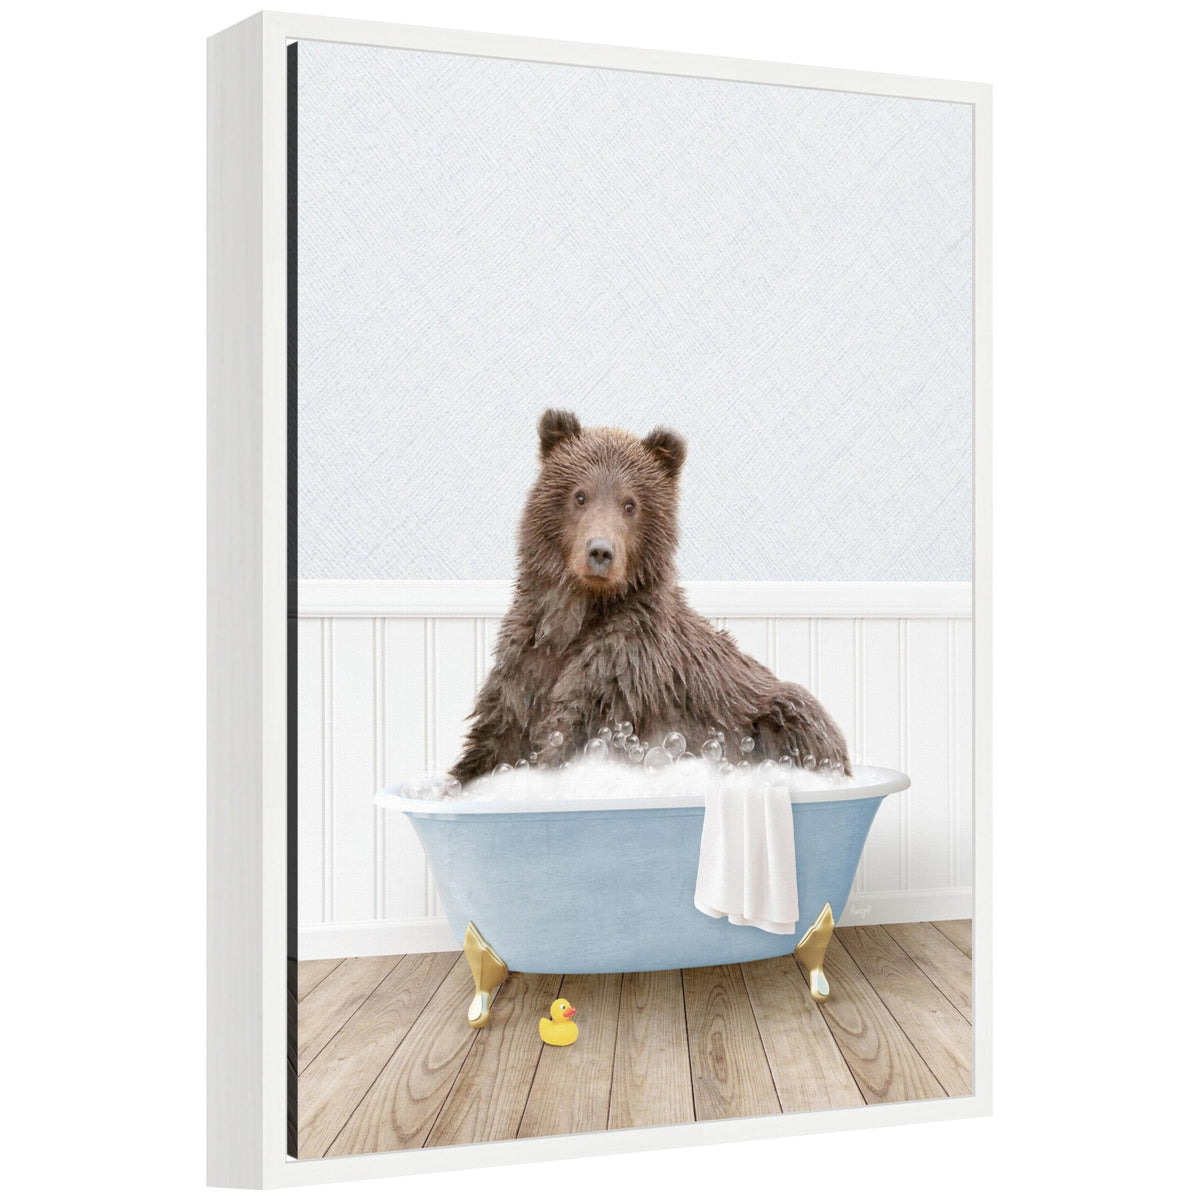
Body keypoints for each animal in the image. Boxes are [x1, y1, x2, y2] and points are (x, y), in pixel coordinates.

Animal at [450, 409, 849, 783]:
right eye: (579, 495)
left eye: (631, 504)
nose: (600, 552)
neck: (579, 614)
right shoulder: (523, 667)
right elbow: (491, 744)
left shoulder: (623, 672)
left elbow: (570, 733)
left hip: (778, 713)